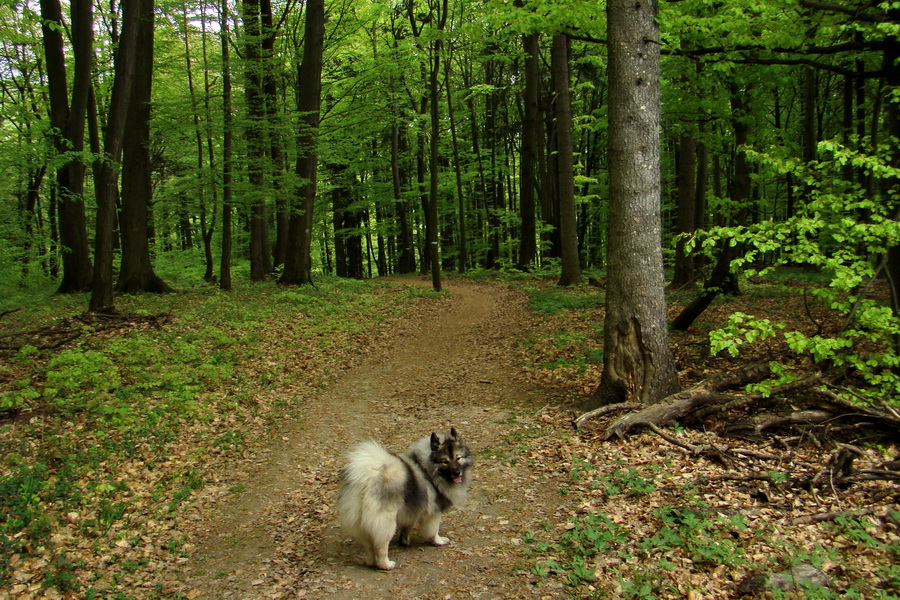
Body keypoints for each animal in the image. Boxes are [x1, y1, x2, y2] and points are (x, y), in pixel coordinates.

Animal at [338, 424, 474, 568]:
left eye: (458, 458)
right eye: (445, 461)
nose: (457, 473)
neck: (428, 469)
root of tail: (368, 478)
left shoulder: (411, 510)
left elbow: (407, 527)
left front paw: (404, 541)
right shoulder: (434, 512)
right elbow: (433, 531)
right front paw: (438, 541)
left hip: (362, 520)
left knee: (368, 544)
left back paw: (370, 561)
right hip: (386, 521)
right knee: (381, 546)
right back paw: (386, 565)